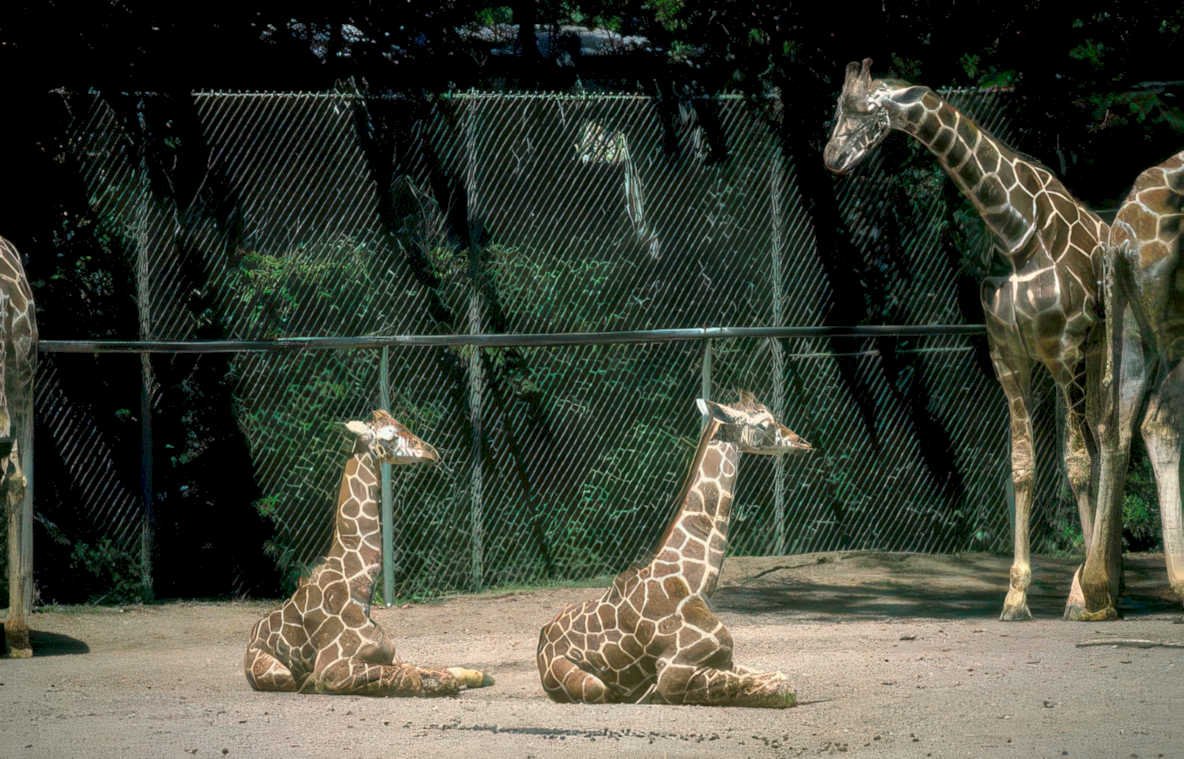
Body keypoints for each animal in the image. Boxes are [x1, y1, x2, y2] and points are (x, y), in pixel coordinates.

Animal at [244, 410, 493, 695]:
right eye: (390, 436)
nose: (432, 452)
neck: (358, 591)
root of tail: (249, 640)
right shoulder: (333, 669)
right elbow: (416, 679)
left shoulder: (391, 654)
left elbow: (438, 671)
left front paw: (481, 676)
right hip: (278, 673)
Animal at [536, 392, 812, 707]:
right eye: (764, 424)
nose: (802, 442)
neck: (694, 584)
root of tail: (541, 643)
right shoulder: (674, 672)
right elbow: (782, 687)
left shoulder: (725, 660)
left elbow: (777, 678)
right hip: (593, 687)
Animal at [824, 60, 1109, 621]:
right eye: (838, 108)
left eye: (867, 112)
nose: (832, 158)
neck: (1016, 232)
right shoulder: (1009, 354)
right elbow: (1022, 467)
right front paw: (1016, 595)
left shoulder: (1065, 349)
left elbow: (1078, 464)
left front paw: (1083, 594)